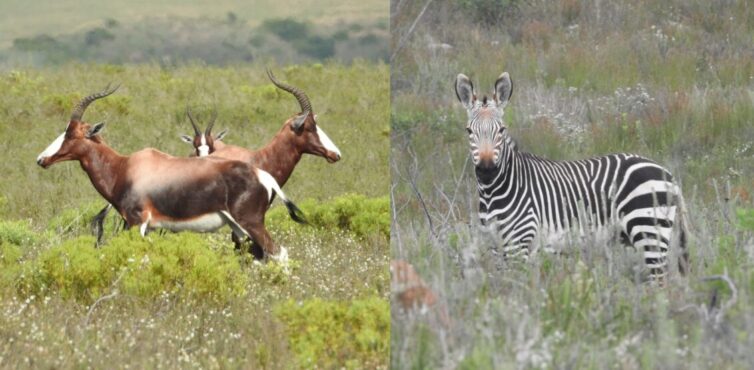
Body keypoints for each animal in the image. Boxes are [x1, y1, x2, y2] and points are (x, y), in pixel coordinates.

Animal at [37, 85, 302, 262]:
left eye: (71, 134)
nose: (41, 159)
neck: (125, 166)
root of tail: (262, 174)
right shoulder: (138, 226)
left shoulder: (137, 222)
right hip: (238, 227)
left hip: (251, 223)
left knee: (280, 254)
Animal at [452, 70, 688, 280]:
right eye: (469, 131)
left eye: (501, 130)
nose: (486, 170)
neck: (494, 191)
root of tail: (667, 173)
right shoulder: (496, 245)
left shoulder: (519, 243)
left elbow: (517, 290)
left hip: (650, 232)